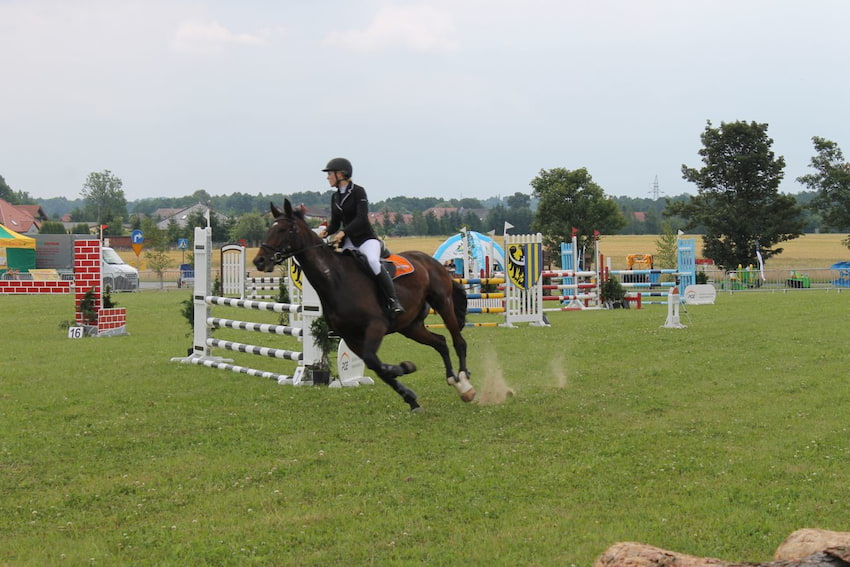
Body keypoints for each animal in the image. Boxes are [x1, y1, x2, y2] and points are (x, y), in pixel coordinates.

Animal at [252, 201, 476, 412]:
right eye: (270, 228)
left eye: (285, 229)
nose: (259, 261)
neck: (337, 279)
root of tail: (431, 261)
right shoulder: (351, 337)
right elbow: (376, 365)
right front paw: (409, 393)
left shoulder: (375, 326)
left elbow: (374, 362)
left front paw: (404, 369)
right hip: (410, 326)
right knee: (440, 342)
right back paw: (453, 380)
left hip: (443, 303)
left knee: (459, 342)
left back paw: (465, 383)